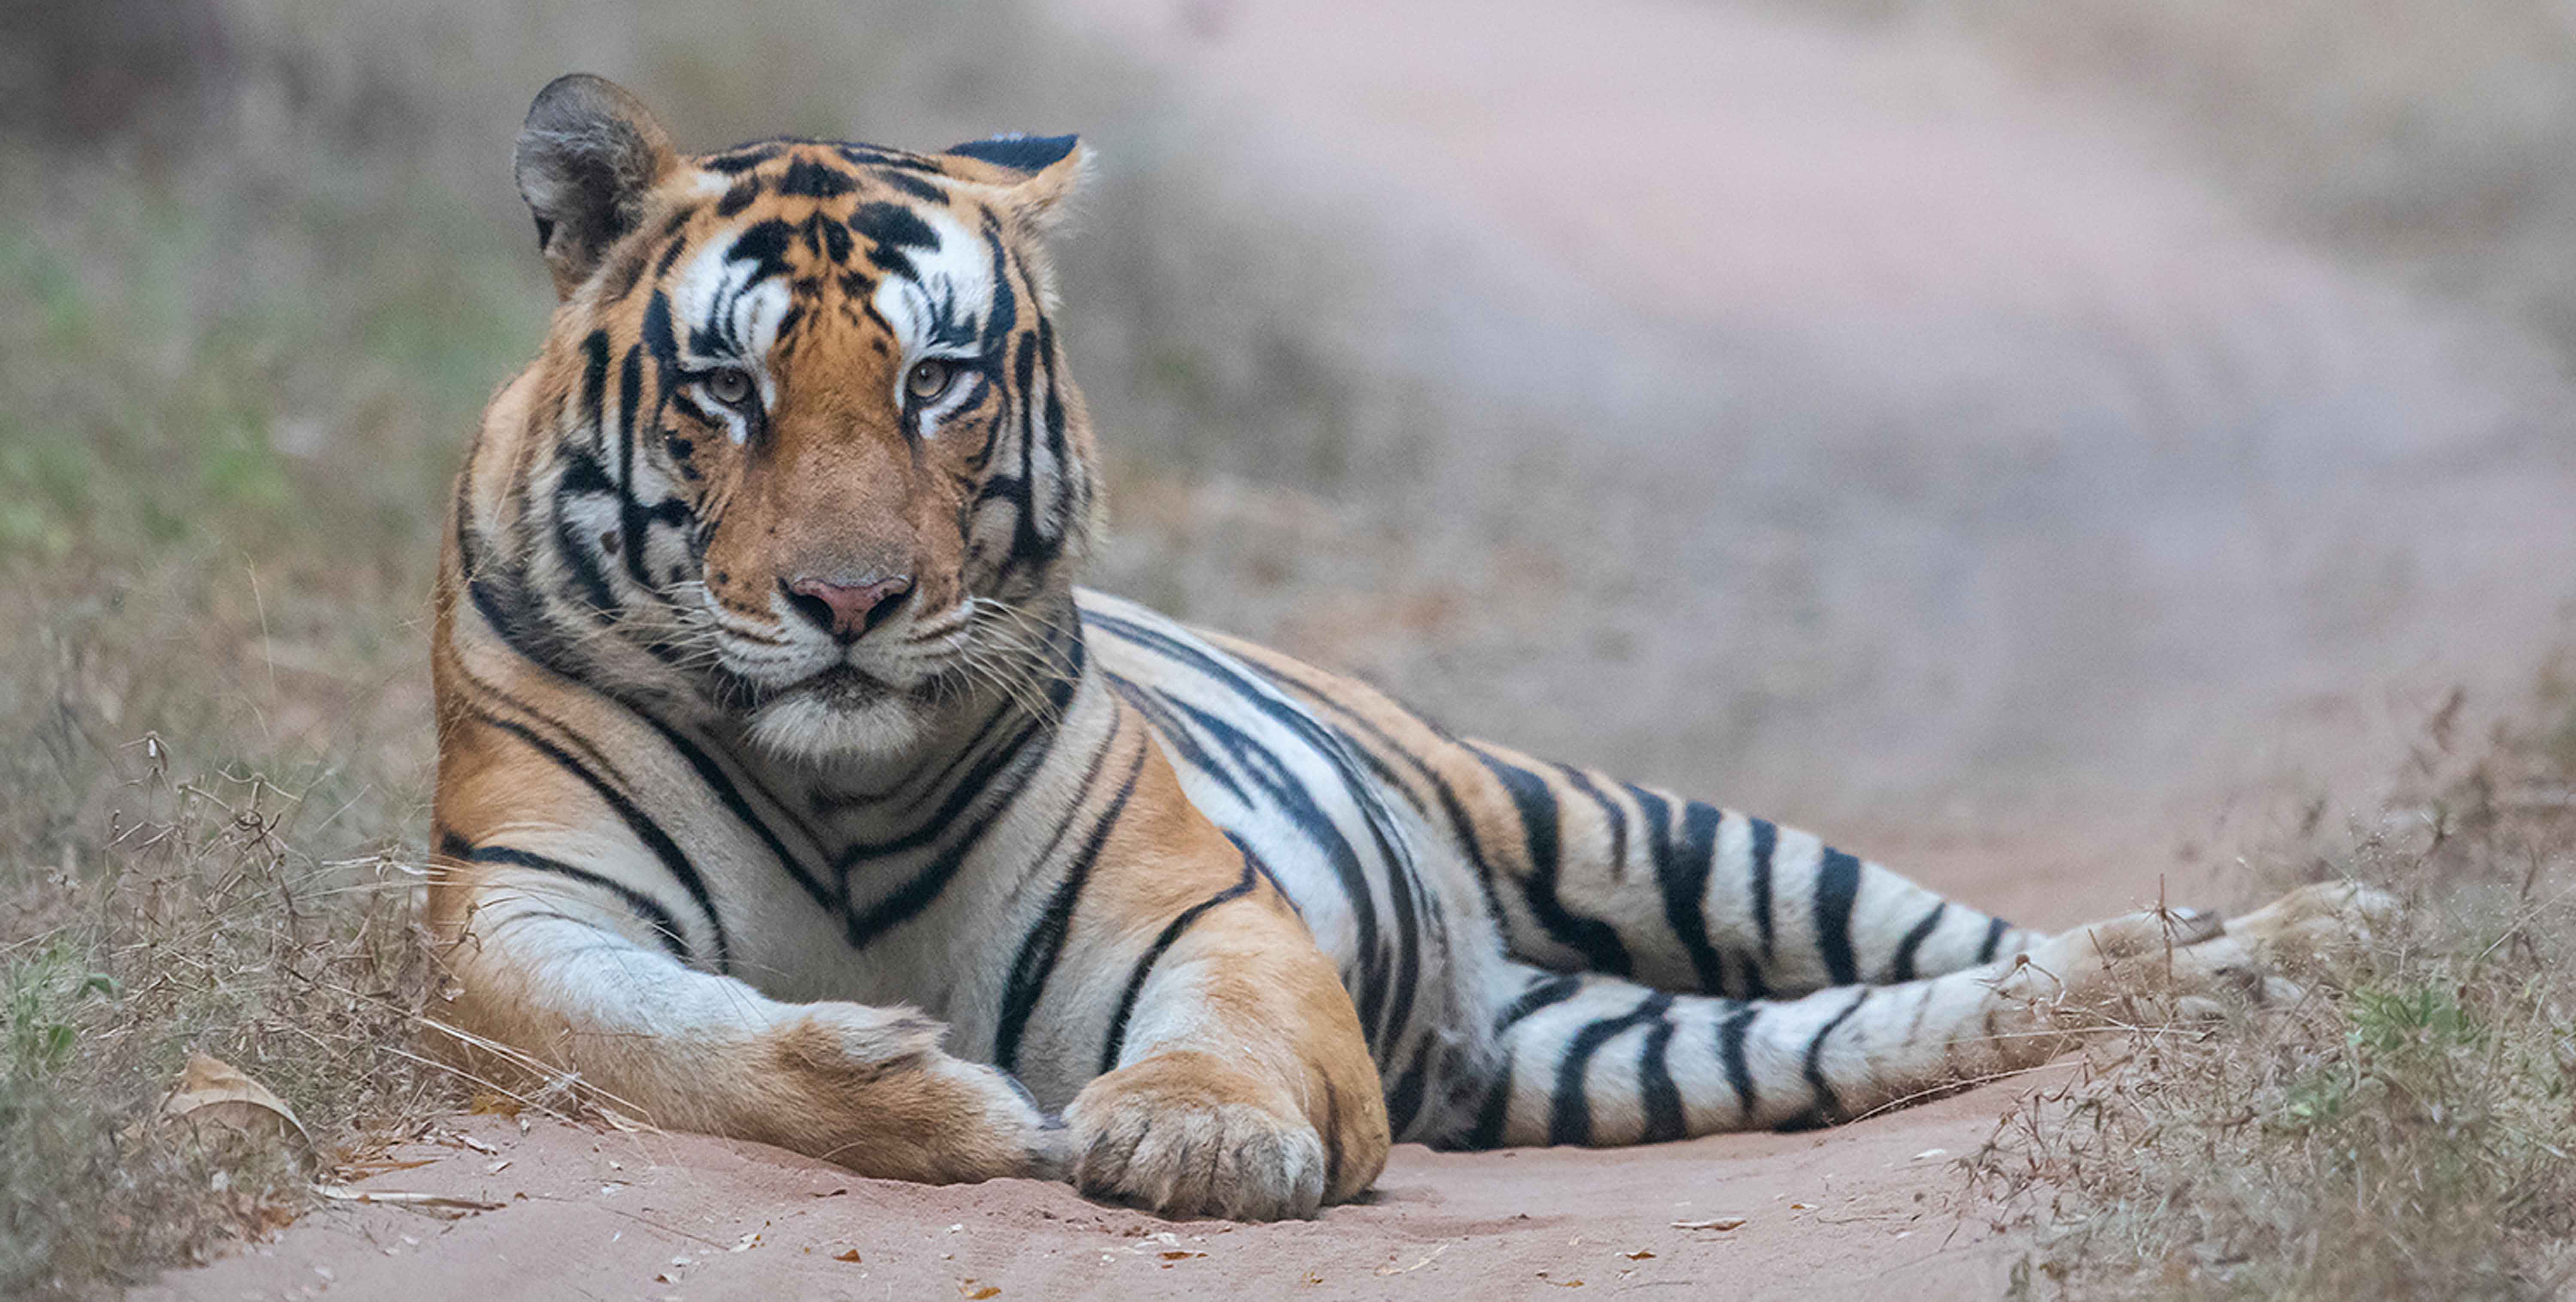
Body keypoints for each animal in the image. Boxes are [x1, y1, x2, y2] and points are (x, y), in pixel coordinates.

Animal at [428, 76, 2391, 1217]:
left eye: (935, 379)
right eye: (726, 390)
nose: (850, 603)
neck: (839, 791)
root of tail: (1475, 991)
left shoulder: (1208, 910)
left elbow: (1224, 1025)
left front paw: (1194, 1134)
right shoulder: (514, 925)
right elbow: (673, 1038)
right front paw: (924, 1091)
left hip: (1632, 823)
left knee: (1969, 933)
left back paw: (2307, 933)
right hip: (1644, 1045)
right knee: (1942, 1008)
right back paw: (2221, 967)